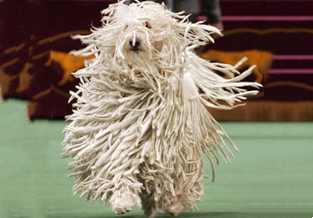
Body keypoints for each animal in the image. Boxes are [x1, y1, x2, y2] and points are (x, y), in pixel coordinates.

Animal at [62, 0, 260, 217]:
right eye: (126, 26)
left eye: (147, 25)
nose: (133, 41)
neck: (142, 79)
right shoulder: (118, 136)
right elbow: (121, 165)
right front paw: (123, 200)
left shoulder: (160, 143)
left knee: (182, 177)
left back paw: (173, 204)